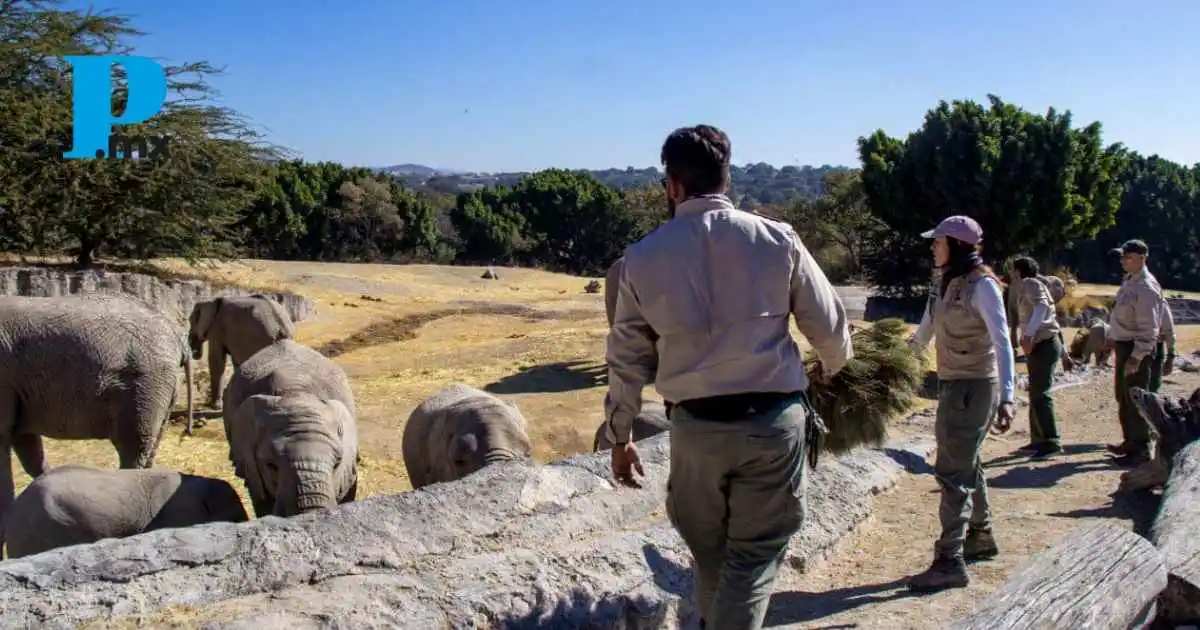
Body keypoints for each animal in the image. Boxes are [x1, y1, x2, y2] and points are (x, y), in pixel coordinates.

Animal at [0, 295, 189, 525]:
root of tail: (177, 335)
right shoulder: (16, 385)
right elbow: (26, 444)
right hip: (162, 389)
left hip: (147, 384)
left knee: (134, 447)